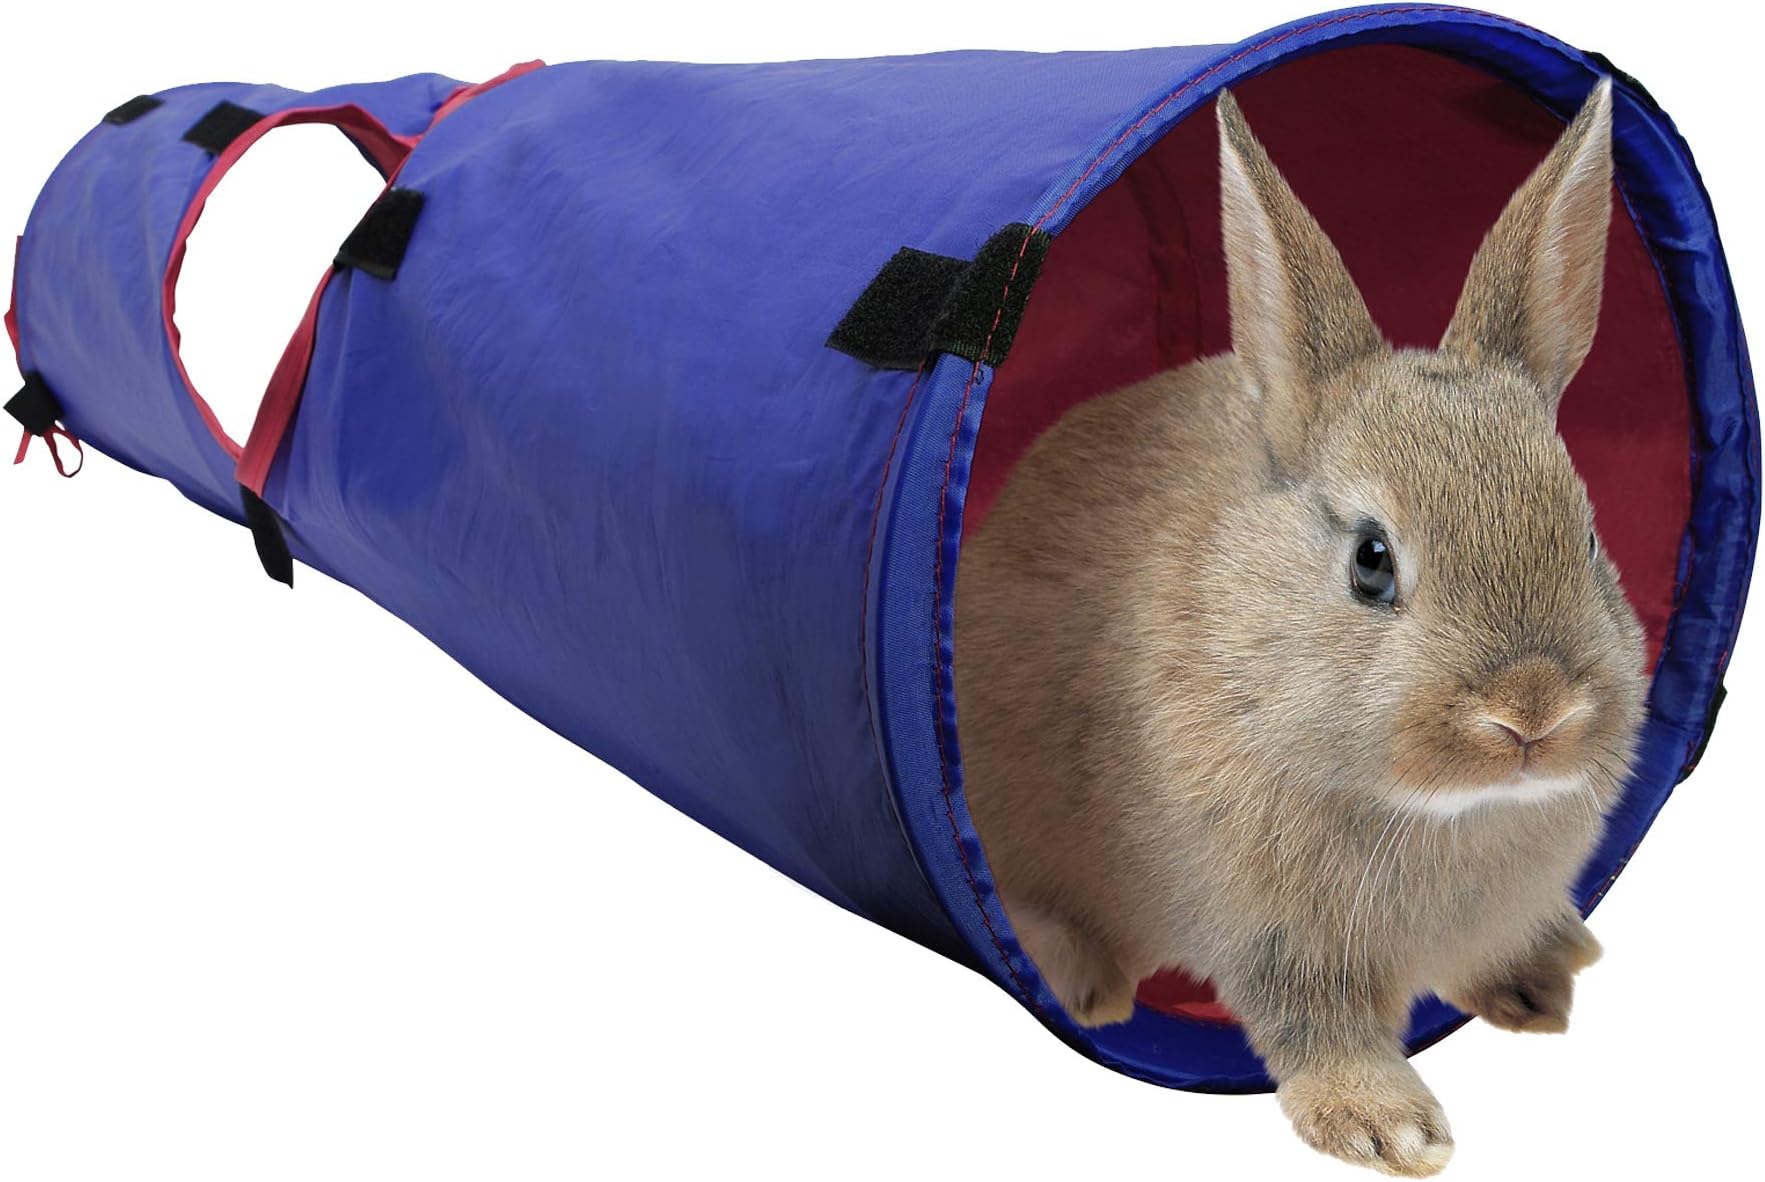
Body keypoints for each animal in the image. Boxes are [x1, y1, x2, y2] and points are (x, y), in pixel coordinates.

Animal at [955, 78, 1642, 1177]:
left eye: (1583, 535)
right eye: (1370, 560)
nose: (1531, 712)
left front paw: (1540, 983)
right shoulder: (1276, 941)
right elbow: (1317, 1029)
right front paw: (1393, 1131)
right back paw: (1084, 984)